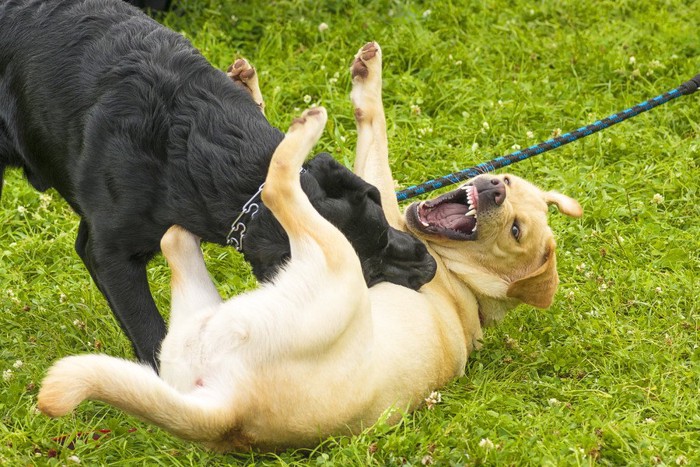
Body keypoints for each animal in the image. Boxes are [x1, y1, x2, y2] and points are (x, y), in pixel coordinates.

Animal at [39, 42, 584, 452]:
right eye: (511, 185)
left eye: (515, 231)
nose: (494, 190)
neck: (466, 287)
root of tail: (229, 414)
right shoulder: (388, 207)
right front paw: (249, 85)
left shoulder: (383, 210)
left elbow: (372, 127)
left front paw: (361, 81)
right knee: (180, 236)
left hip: (330, 260)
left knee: (275, 191)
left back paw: (307, 127)